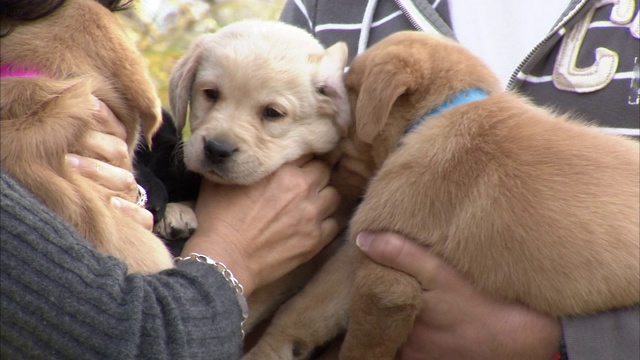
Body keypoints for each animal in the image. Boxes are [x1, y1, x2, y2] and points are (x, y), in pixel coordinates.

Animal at [245, 31, 640, 360]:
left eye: (350, 91)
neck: (440, 114)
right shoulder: (363, 252)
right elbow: (306, 311)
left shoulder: (387, 281)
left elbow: (359, 346)